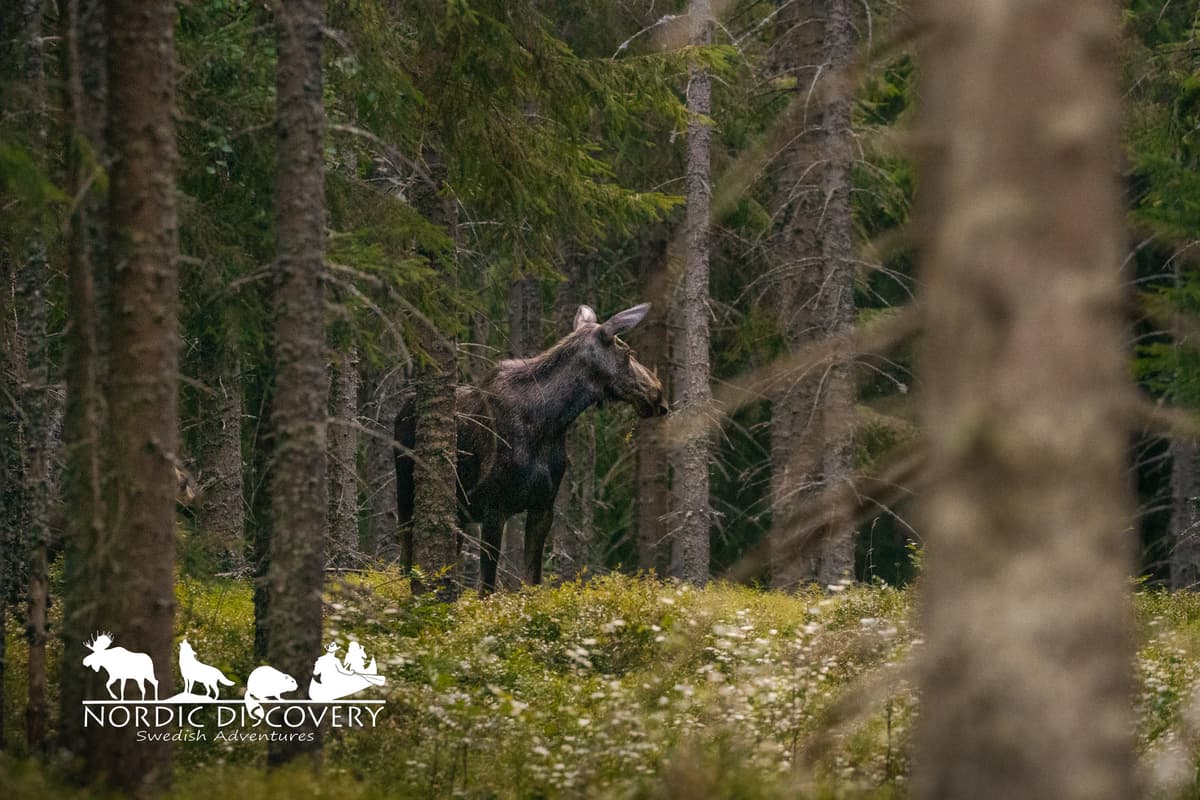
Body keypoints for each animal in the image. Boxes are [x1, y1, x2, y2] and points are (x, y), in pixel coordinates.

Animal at [396, 303, 668, 594]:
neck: (550, 422)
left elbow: (531, 581)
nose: (659, 396)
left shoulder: (543, 506)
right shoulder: (494, 508)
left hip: (459, 512)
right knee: (404, 559)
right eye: (627, 352)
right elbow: (487, 587)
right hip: (407, 497)